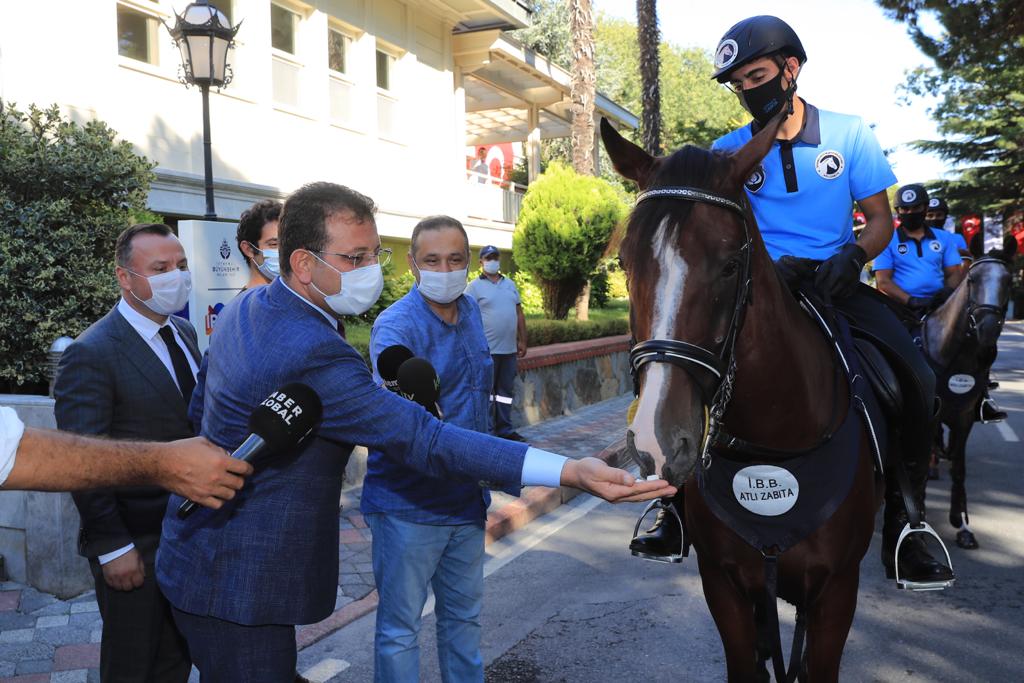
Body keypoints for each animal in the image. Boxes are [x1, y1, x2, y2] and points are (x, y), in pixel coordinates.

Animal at [602, 117, 884, 683]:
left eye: (731, 265)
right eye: (624, 262)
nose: (657, 441)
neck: (775, 444)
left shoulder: (837, 592)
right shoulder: (726, 587)